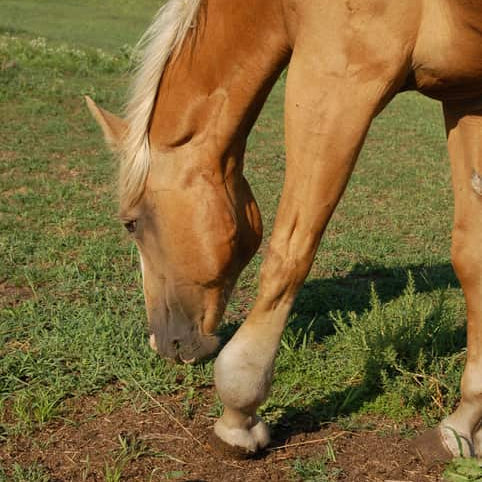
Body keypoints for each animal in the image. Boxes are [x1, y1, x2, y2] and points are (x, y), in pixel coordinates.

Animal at [86, 0, 482, 462]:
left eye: (131, 223)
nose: (164, 345)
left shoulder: (337, 81)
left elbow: (290, 251)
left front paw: (238, 413)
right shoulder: (465, 97)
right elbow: (471, 258)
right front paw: (461, 425)